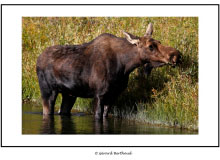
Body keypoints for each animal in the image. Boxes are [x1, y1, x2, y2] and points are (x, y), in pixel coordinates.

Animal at [36, 23, 180, 119]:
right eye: (150, 46)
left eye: (159, 41)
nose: (175, 55)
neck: (125, 66)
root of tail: (37, 60)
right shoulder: (99, 94)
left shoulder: (113, 95)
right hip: (48, 91)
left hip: (69, 94)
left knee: (63, 111)